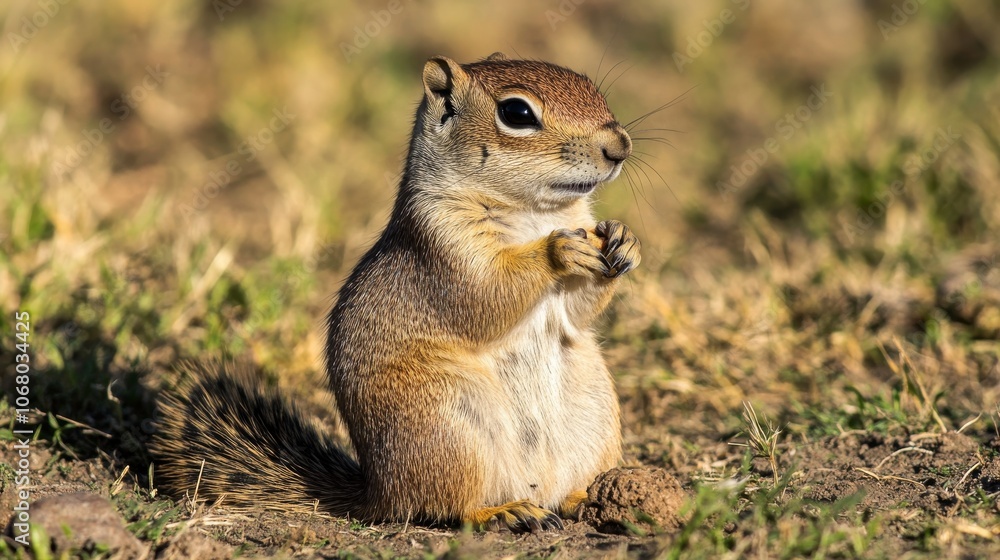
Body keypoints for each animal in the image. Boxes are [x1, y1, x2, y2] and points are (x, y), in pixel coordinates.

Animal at [151, 52, 641, 533]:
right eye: (516, 113)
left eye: (587, 82)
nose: (620, 146)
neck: (537, 213)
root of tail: (377, 492)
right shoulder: (445, 251)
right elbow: (486, 297)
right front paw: (558, 249)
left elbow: (577, 311)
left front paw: (624, 238)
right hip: (448, 425)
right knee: (448, 505)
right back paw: (503, 512)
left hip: (593, 413)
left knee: (557, 492)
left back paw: (588, 499)